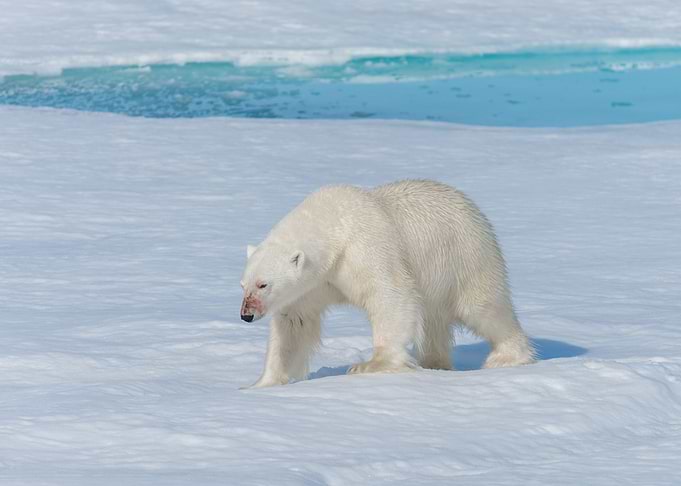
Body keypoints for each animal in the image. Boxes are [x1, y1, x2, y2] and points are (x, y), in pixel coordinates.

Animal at [240, 179, 534, 388]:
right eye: (243, 285)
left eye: (263, 284)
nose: (246, 315)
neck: (332, 225)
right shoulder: (315, 283)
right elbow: (294, 323)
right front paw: (260, 383)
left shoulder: (365, 247)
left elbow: (390, 295)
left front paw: (369, 365)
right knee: (434, 322)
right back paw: (435, 363)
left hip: (465, 256)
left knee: (483, 307)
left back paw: (507, 356)